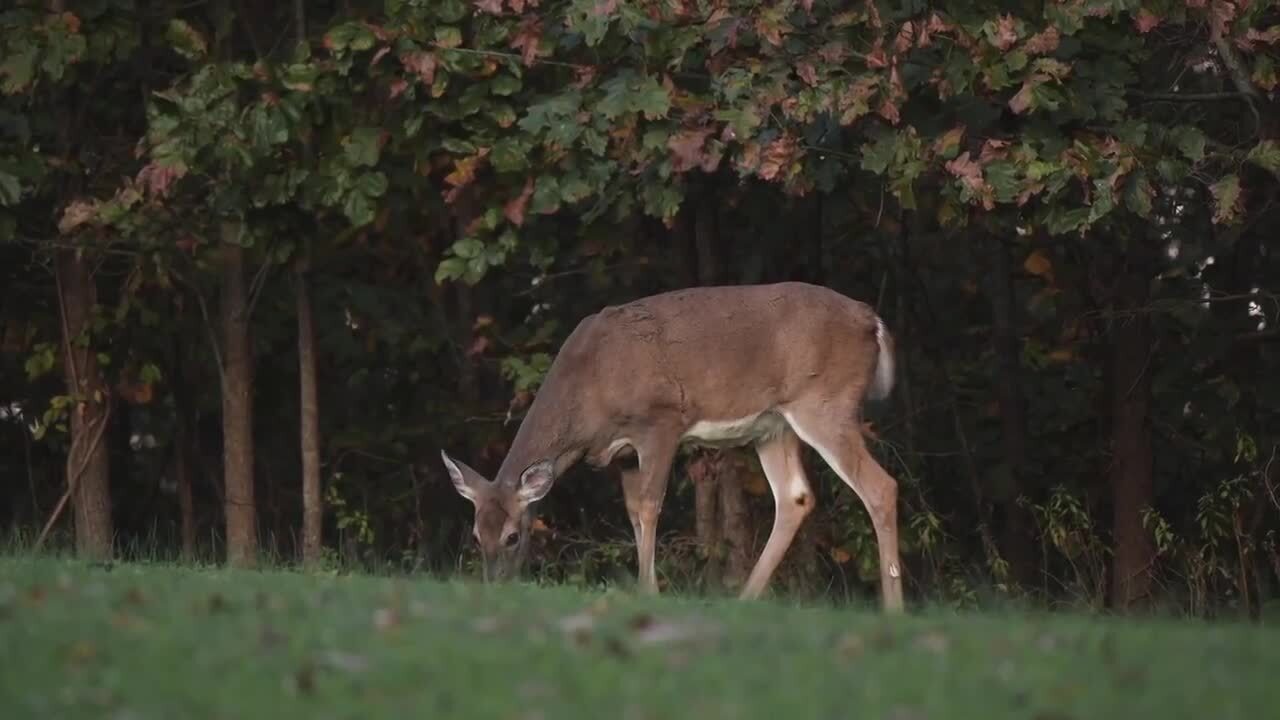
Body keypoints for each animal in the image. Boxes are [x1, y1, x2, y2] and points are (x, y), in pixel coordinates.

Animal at [441, 281, 904, 612]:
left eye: (513, 537)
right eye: (477, 536)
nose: (496, 587)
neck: (589, 387)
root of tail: (872, 319)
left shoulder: (660, 421)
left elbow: (650, 506)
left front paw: (649, 592)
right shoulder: (623, 454)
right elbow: (633, 512)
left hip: (825, 403)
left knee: (881, 486)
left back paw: (893, 609)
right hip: (774, 426)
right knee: (795, 497)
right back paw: (744, 600)